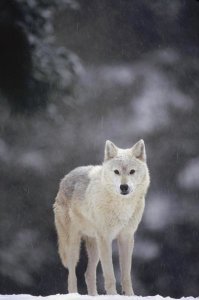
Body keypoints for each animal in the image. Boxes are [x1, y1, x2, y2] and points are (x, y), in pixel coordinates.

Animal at [53, 140, 150, 296]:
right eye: (116, 171)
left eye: (132, 171)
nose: (124, 187)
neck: (121, 206)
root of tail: (65, 178)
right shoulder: (105, 238)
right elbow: (109, 274)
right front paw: (113, 295)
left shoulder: (126, 237)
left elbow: (126, 274)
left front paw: (130, 295)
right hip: (73, 245)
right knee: (72, 274)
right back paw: (74, 294)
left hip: (94, 246)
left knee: (88, 274)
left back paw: (93, 295)